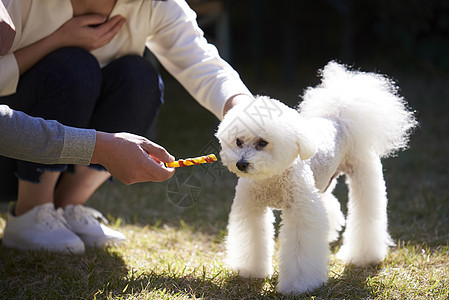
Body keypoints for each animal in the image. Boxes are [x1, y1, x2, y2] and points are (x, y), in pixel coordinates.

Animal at [214, 61, 416, 296]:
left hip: (363, 175)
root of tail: (339, 118)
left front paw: (299, 286)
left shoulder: (299, 212)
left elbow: (300, 249)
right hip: (320, 185)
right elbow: (252, 237)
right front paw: (249, 271)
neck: (272, 178)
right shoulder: (250, 208)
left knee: (366, 214)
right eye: (238, 142)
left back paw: (364, 256)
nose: (241, 164)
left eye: (262, 143)